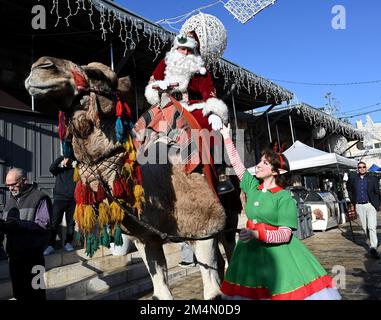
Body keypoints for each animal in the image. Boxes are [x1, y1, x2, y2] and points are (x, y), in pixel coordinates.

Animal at [25, 55, 238, 300]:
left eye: (98, 74)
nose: (41, 67)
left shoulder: (204, 228)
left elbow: (213, 292)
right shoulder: (146, 240)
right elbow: (161, 292)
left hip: (229, 213)